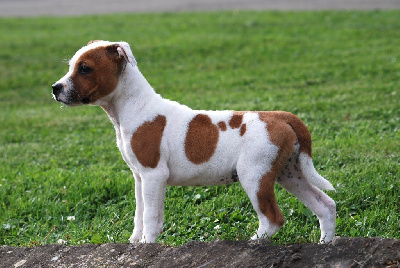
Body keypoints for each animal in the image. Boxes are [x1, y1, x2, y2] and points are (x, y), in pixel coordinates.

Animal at [52, 40, 334, 244]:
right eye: (72, 66)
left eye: (85, 68)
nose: (55, 88)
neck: (133, 107)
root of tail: (280, 116)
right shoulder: (139, 177)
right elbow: (139, 214)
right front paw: (134, 242)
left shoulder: (153, 175)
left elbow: (151, 217)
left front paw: (147, 245)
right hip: (289, 173)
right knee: (325, 205)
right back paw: (325, 244)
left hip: (255, 176)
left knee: (273, 218)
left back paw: (253, 242)